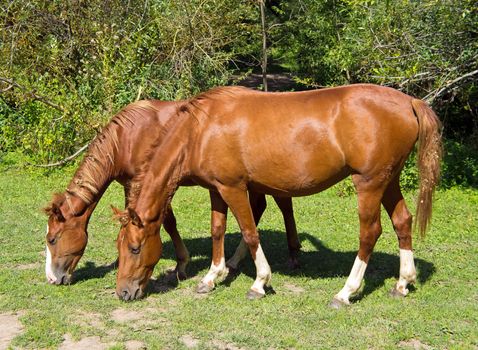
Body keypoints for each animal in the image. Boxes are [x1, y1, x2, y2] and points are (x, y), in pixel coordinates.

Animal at [44, 98, 298, 284]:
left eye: (52, 239)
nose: (52, 278)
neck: (128, 138)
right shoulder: (134, 185)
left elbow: (168, 222)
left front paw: (182, 264)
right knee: (260, 207)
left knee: (282, 207)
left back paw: (290, 254)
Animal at [115, 83, 440, 304]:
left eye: (134, 247)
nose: (123, 292)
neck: (201, 129)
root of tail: (409, 102)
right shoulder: (216, 190)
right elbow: (218, 230)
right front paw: (211, 277)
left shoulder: (233, 188)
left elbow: (249, 232)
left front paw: (259, 282)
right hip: (389, 181)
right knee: (402, 222)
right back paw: (403, 282)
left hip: (369, 184)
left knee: (370, 232)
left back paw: (346, 292)